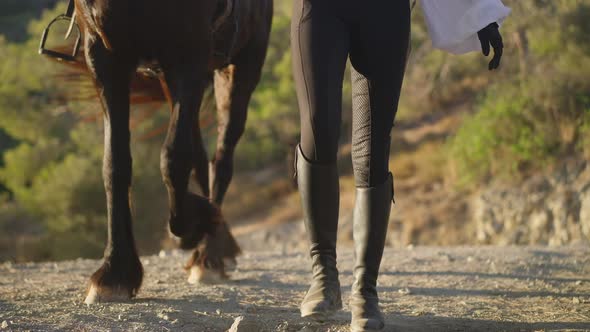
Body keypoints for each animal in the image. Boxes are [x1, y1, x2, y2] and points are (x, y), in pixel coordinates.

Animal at [47, 0, 274, 304]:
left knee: (222, 160)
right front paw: (115, 272)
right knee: (201, 158)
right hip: (173, 79)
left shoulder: (189, 53)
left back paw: (209, 254)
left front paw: (193, 227)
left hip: (240, 67)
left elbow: (174, 157)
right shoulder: (105, 55)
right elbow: (115, 162)